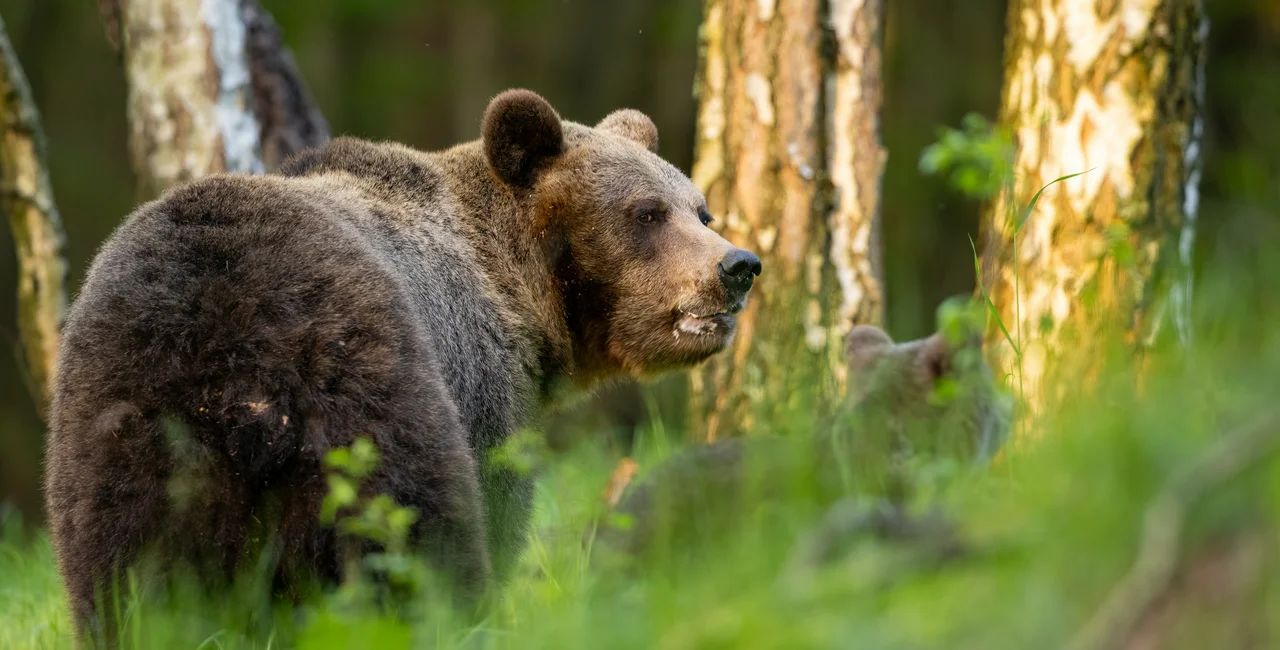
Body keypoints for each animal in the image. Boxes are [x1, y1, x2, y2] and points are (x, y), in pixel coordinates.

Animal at [44, 88, 761, 641]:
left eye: (700, 209)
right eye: (647, 212)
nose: (737, 265)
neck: (516, 289)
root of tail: (231, 367)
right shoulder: (480, 382)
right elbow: (498, 504)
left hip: (121, 425)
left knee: (130, 578)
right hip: (363, 385)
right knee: (411, 538)